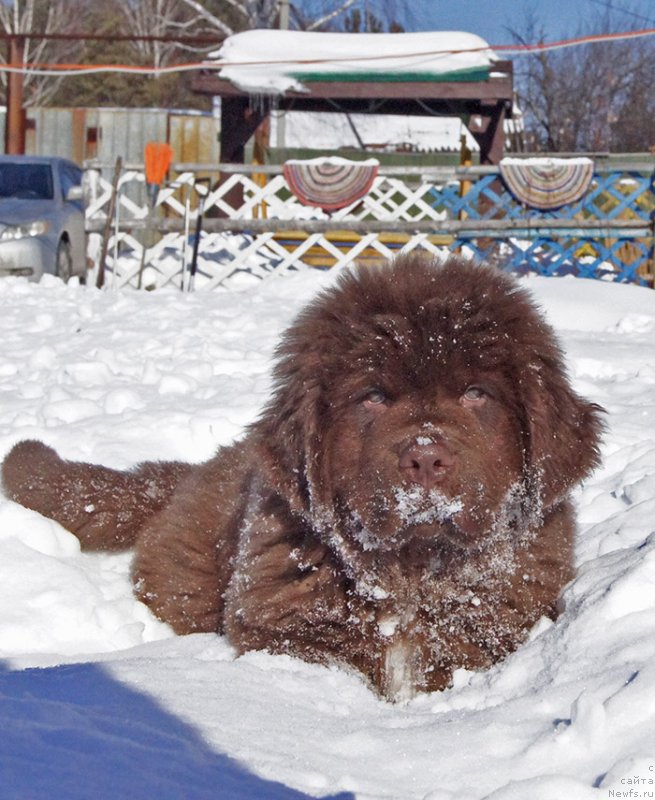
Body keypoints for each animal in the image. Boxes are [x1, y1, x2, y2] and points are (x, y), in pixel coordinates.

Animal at [1, 256, 604, 700]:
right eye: (373, 397)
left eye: (477, 393)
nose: (426, 457)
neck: (412, 570)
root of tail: (195, 470)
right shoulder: (286, 625)